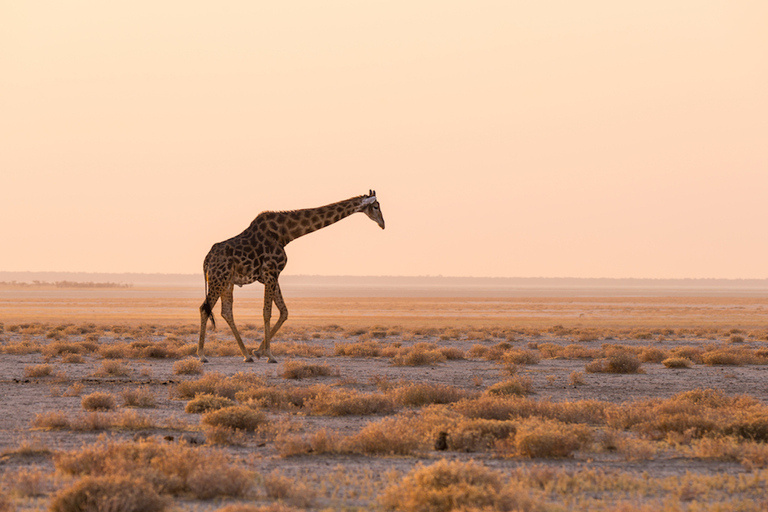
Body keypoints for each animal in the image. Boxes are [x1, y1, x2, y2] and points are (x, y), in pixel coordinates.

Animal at [196, 190, 384, 362]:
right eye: (375, 206)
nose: (383, 224)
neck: (285, 233)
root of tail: (206, 260)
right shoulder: (271, 272)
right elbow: (267, 312)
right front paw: (270, 355)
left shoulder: (271, 276)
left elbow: (284, 312)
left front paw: (258, 351)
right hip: (218, 279)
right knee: (205, 308)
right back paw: (202, 355)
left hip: (227, 282)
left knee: (226, 312)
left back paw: (246, 355)